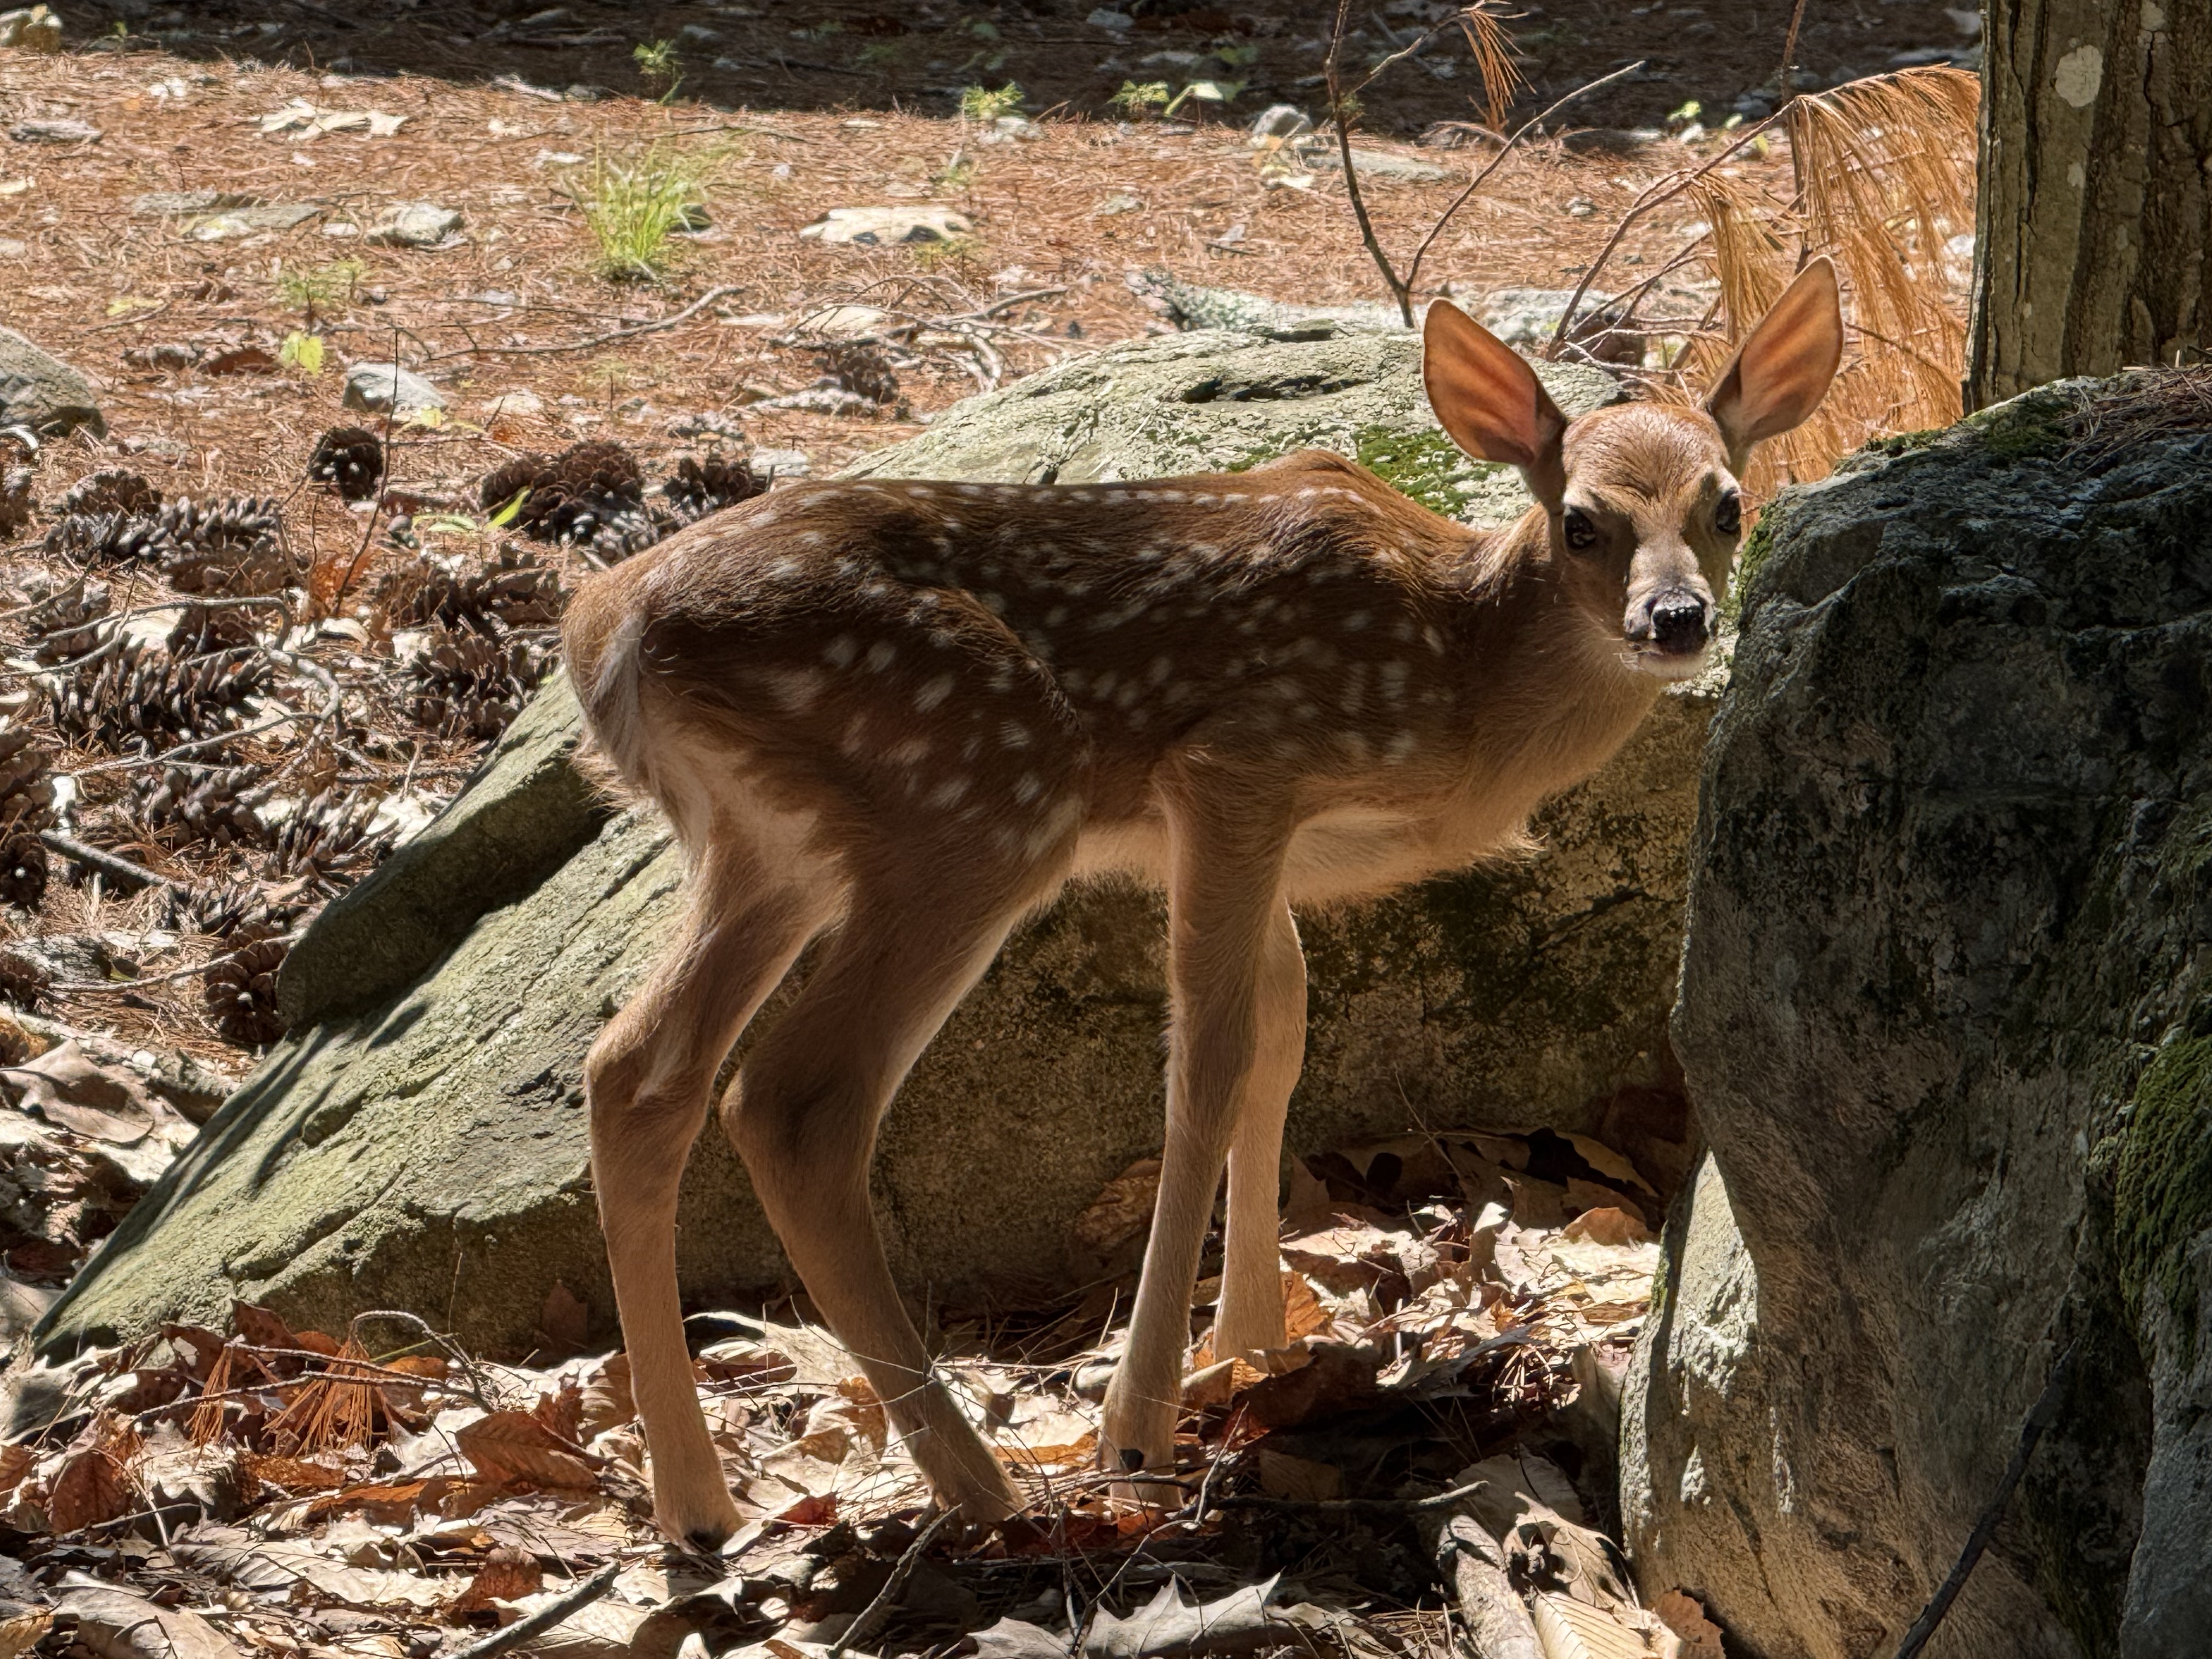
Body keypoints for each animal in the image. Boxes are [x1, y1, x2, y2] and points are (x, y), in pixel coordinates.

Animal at [561, 257, 1844, 1548]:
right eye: (1582, 520)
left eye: (1727, 503)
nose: (1674, 620)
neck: (1457, 673)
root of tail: (601, 631)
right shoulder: (1238, 766)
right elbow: (1211, 1061)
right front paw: (1143, 1425)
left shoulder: (1267, 842)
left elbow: (1283, 1035)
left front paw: (1256, 1348)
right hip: (972, 803)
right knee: (794, 1100)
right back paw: (984, 1488)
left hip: (769, 848)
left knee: (635, 1071)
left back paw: (698, 1506)